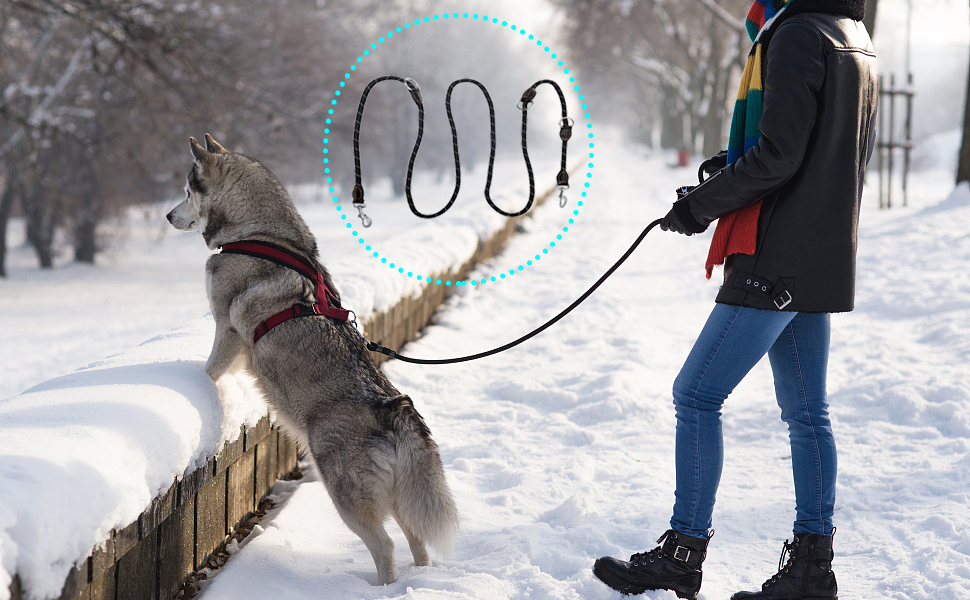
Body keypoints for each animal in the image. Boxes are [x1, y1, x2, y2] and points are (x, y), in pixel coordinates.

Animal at [165, 134, 458, 584]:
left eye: (186, 191)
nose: (166, 215)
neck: (262, 235)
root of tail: (396, 410)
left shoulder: (227, 330)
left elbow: (210, 370)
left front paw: (195, 385)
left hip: (343, 492)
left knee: (386, 546)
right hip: (399, 498)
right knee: (416, 541)